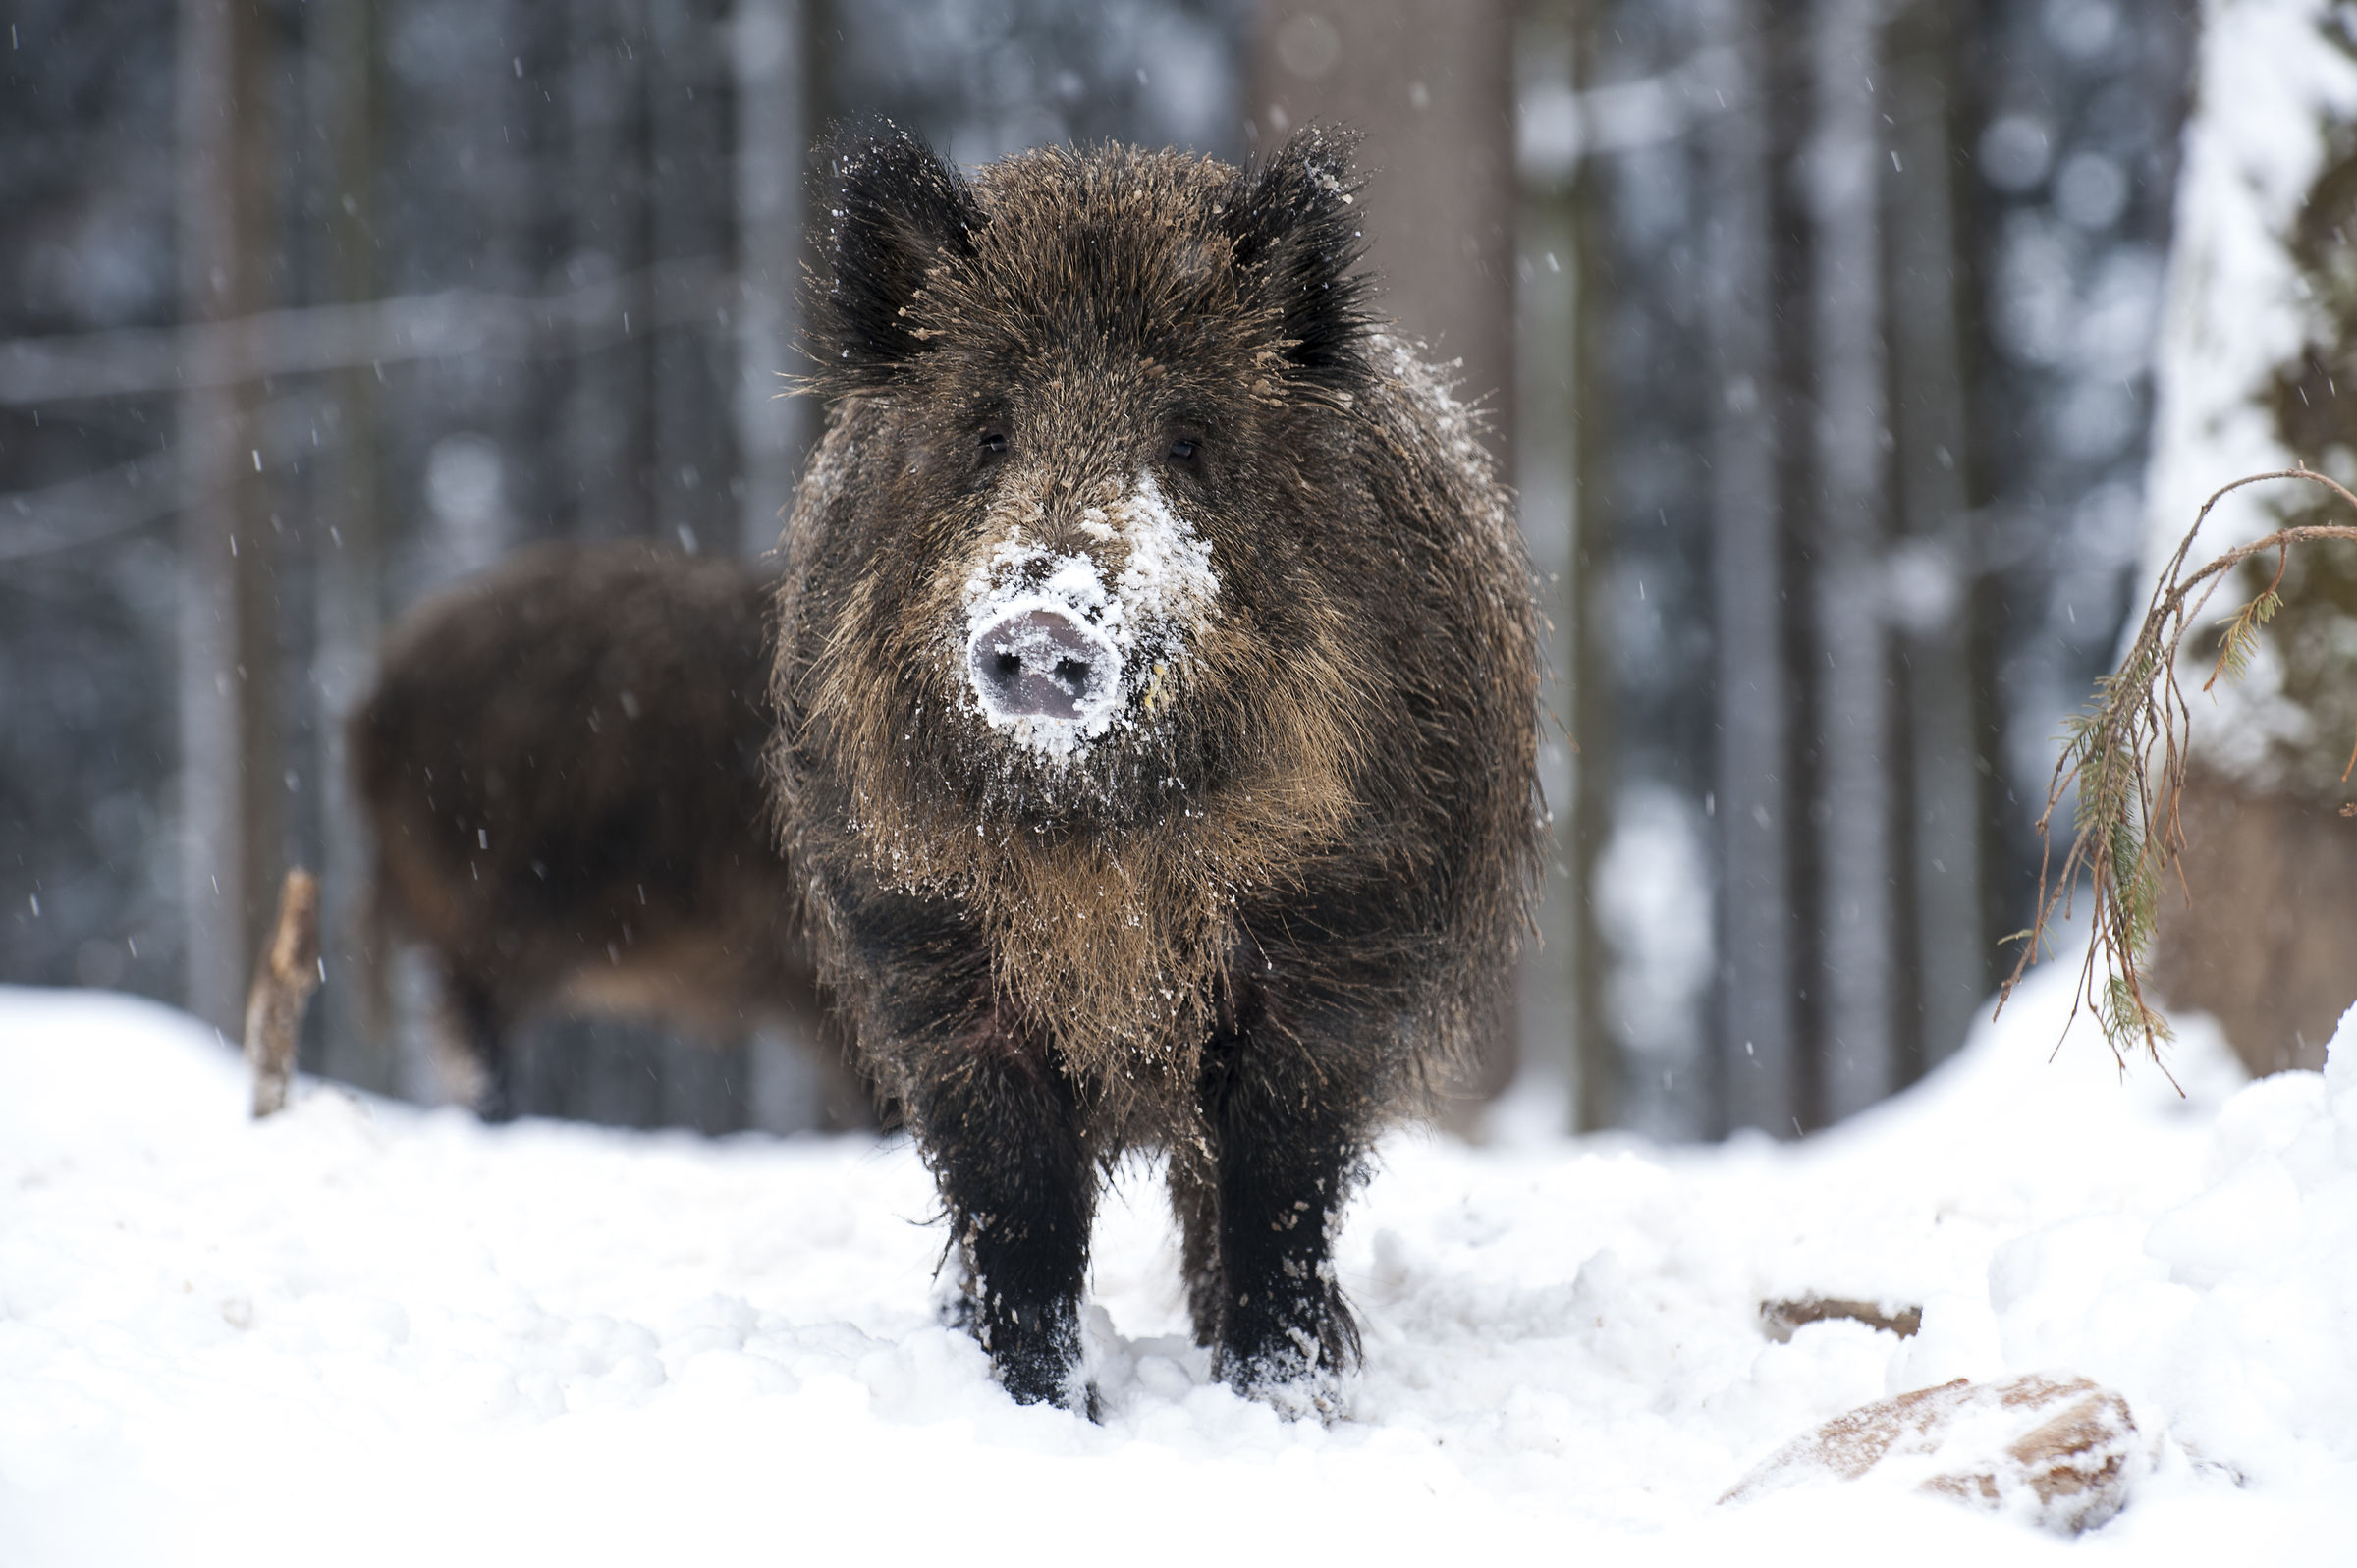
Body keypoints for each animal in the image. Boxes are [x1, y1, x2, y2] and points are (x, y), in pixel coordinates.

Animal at [770, 129, 1542, 1412]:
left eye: (1186, 441)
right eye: (988, 432)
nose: (1043, 623)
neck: (1105, 856)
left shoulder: (1339, 945)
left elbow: (1274, 1192)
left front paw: (1283, 1401)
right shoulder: (926, 953)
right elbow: (1018, 1207)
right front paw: (1041, 1405)